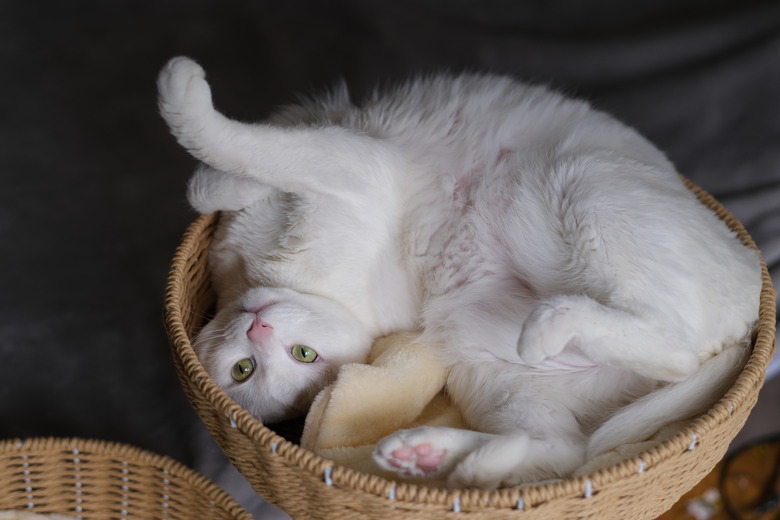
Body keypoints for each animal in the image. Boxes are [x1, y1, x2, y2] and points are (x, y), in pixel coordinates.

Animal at [158, 57, 760, 488]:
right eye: (244, 370)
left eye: (301, 355)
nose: (258, 326)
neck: (254, 276)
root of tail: (752, 303)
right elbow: (242, 163)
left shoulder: (353, 158)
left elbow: (237, 160)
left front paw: (187, 104)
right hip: (489, 365)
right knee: (565, 451)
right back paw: (441, 457)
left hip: (579, 184)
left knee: (672, 344)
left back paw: (549, 329)